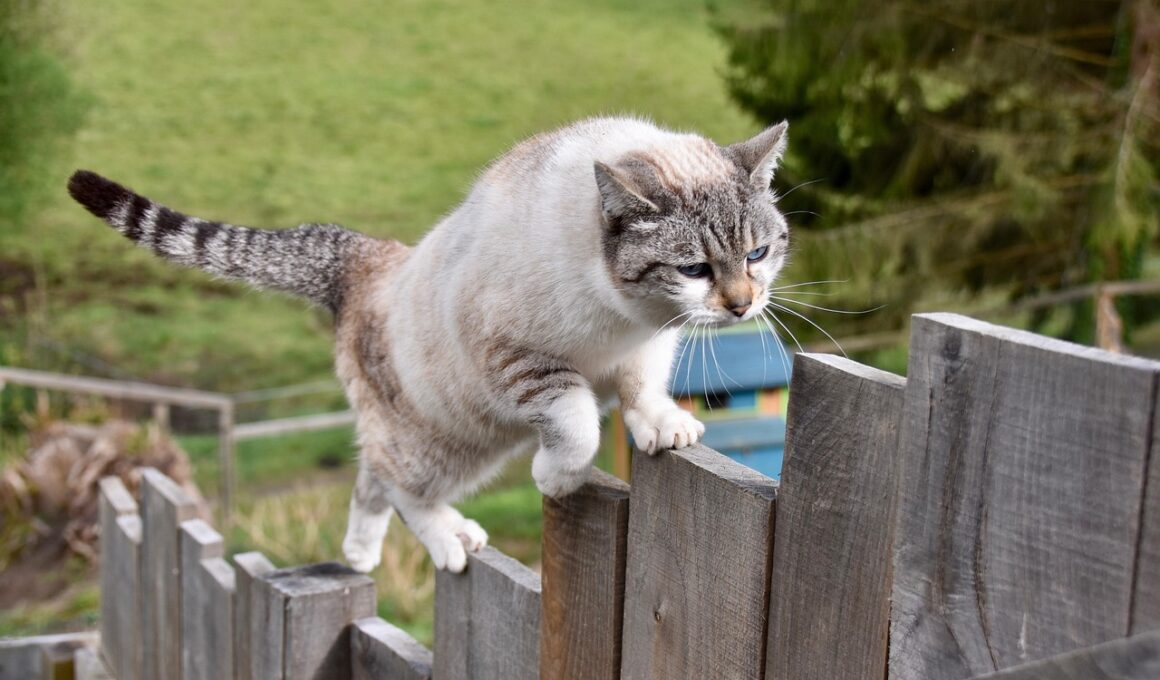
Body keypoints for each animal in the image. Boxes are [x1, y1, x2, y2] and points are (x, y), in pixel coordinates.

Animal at [67, 116, 790, 573]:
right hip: (446, 440)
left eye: (757, 253)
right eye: (694, 268)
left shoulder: (647, 344)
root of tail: (369, 256)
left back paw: (360, 555)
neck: (624, 314)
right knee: (397, 483)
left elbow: (643, 388)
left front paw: (664, 425)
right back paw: (449, 540)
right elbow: (579, 425)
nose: (742, 305)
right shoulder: (522, 362)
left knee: (369, 476)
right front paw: (555, 478)